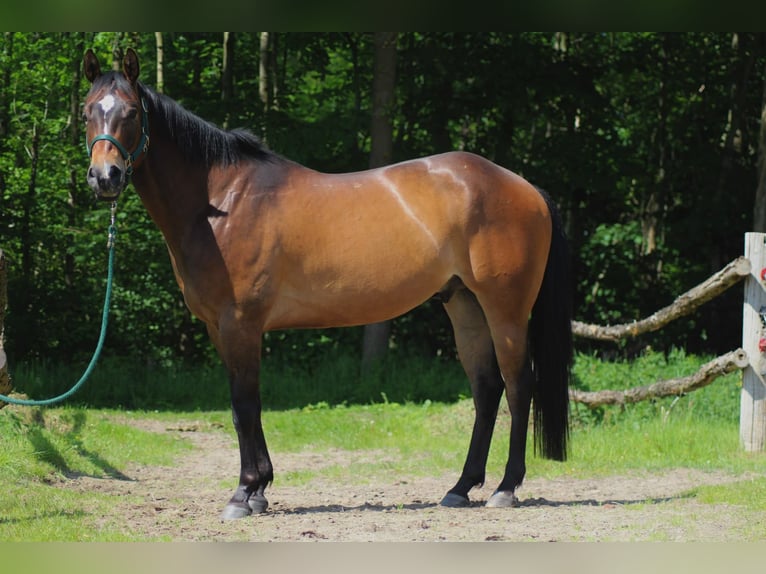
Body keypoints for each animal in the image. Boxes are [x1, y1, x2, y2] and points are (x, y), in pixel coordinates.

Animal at [82, 47, 573, 520]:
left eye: (130, 112)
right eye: (87, 111)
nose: (105, 177)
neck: (222, 203)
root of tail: (526, 187)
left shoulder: (240, 324)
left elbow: (245, 405)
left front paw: (244, 493)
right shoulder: (219, 328)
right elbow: (248, 408)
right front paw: (260, 491)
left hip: (505, 310)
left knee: (518, 385)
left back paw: (505, 489)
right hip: (464, 305)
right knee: (487, 389)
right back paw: (460, 488)